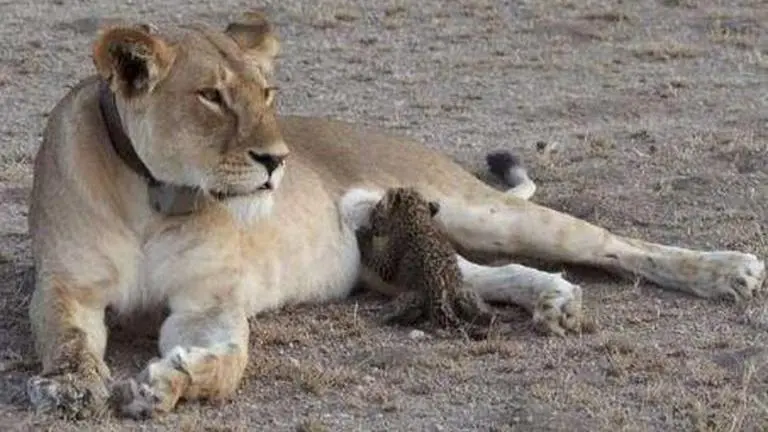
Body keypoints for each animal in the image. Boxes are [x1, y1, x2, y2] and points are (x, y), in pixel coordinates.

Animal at [24, 11, 765, 420]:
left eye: (268, 92)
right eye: (211, 96)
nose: (277, 160)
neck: (158, 195)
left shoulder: (210, 303)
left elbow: (226, 362)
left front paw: (167, 384)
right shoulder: (65, 285)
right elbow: (66, 337)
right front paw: (71, 388)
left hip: (474, 208)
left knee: (609, 243)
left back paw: (728, 271)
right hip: (392, 252)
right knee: (477, 273)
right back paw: (554, 299)